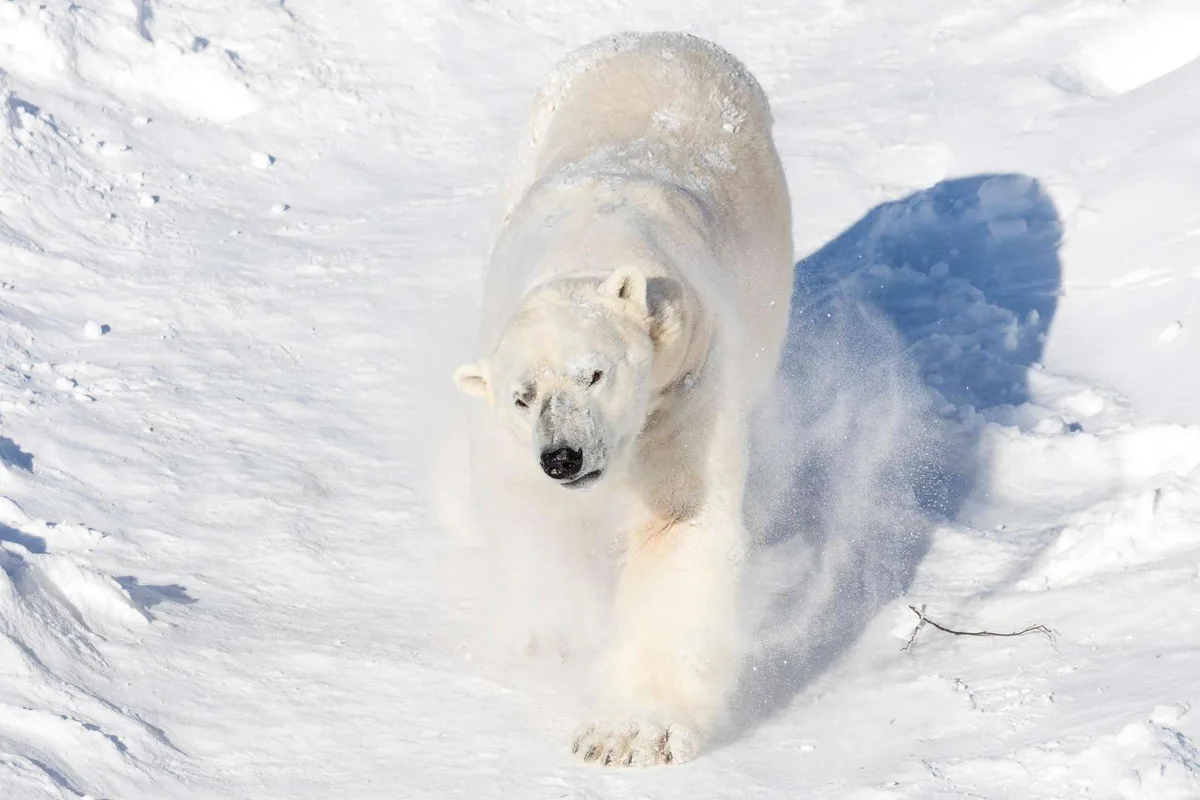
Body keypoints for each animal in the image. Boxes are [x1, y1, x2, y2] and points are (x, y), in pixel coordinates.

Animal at [449, 32, 792, 766]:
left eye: (595, 374)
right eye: (522, 397)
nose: (563, 458)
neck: (589, 247)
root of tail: (661, 37)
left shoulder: (683, 389)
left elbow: (677, 523)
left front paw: (630, 734)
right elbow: (531, 518)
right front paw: (550, 639)